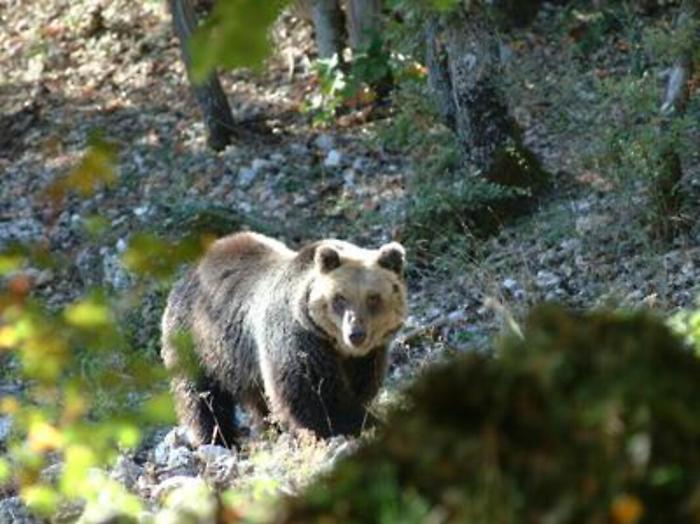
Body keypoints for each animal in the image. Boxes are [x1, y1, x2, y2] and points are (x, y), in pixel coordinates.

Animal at [161, 231, 407, 447]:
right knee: (200, 395)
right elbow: (314, 395)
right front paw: (363, 424)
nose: (356, 334)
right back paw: (218, 438)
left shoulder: (368, 356)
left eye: (373, 298)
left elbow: (361, 385)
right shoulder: (297, 337)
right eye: (340, 298)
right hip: (196, 340)